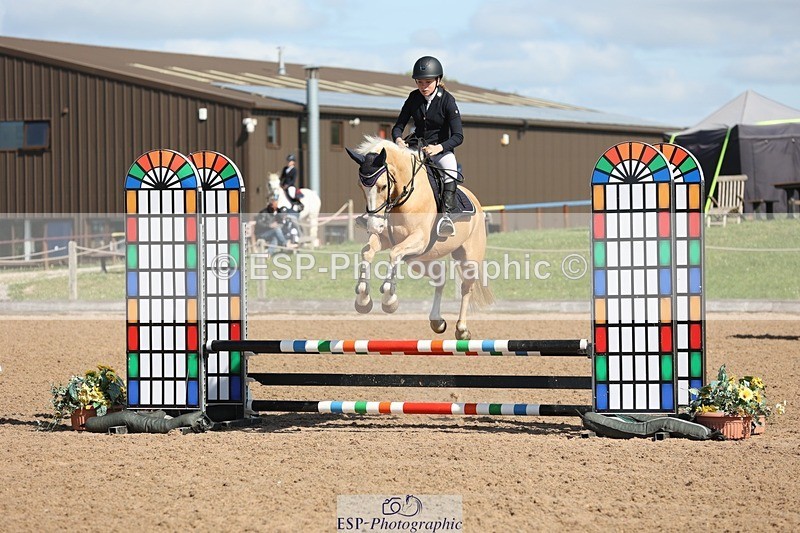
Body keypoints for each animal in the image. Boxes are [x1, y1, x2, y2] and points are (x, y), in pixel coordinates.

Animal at [346, 136, 493, 340]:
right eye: (361, 186)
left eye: (383, 186)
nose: (373, 225)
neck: (403, 199)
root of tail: (478, 203)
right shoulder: (386, 238)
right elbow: (367, 253)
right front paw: (363, 299)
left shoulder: (419, 239)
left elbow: (394, 253)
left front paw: (389, 299)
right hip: (418, 259)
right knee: (440, 276)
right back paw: (437, 321)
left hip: (468, 258)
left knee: (466, 287)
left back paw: (462, 329)